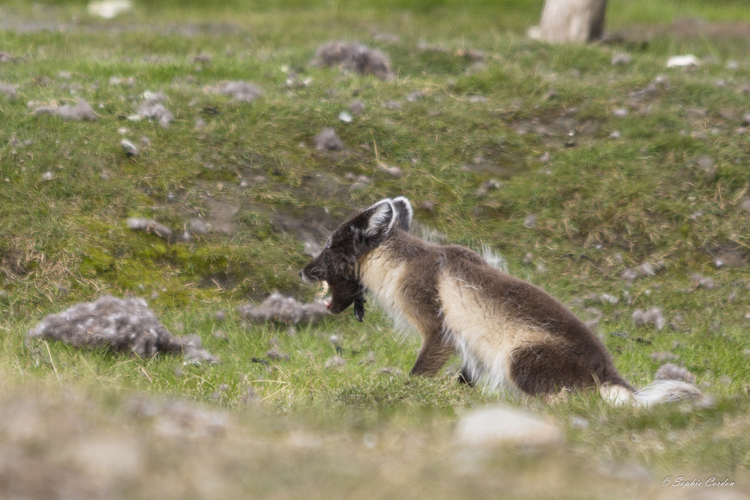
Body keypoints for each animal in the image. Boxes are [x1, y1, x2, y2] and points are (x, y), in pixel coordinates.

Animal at [302, 197, 704, 404]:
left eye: (329, 245)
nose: (303, 271)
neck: (402, 264)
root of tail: (610, 374)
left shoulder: (438, 328)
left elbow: (419, 372)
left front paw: (406, 393)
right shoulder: (471, 348)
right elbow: (464, 380)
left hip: (520, 358)